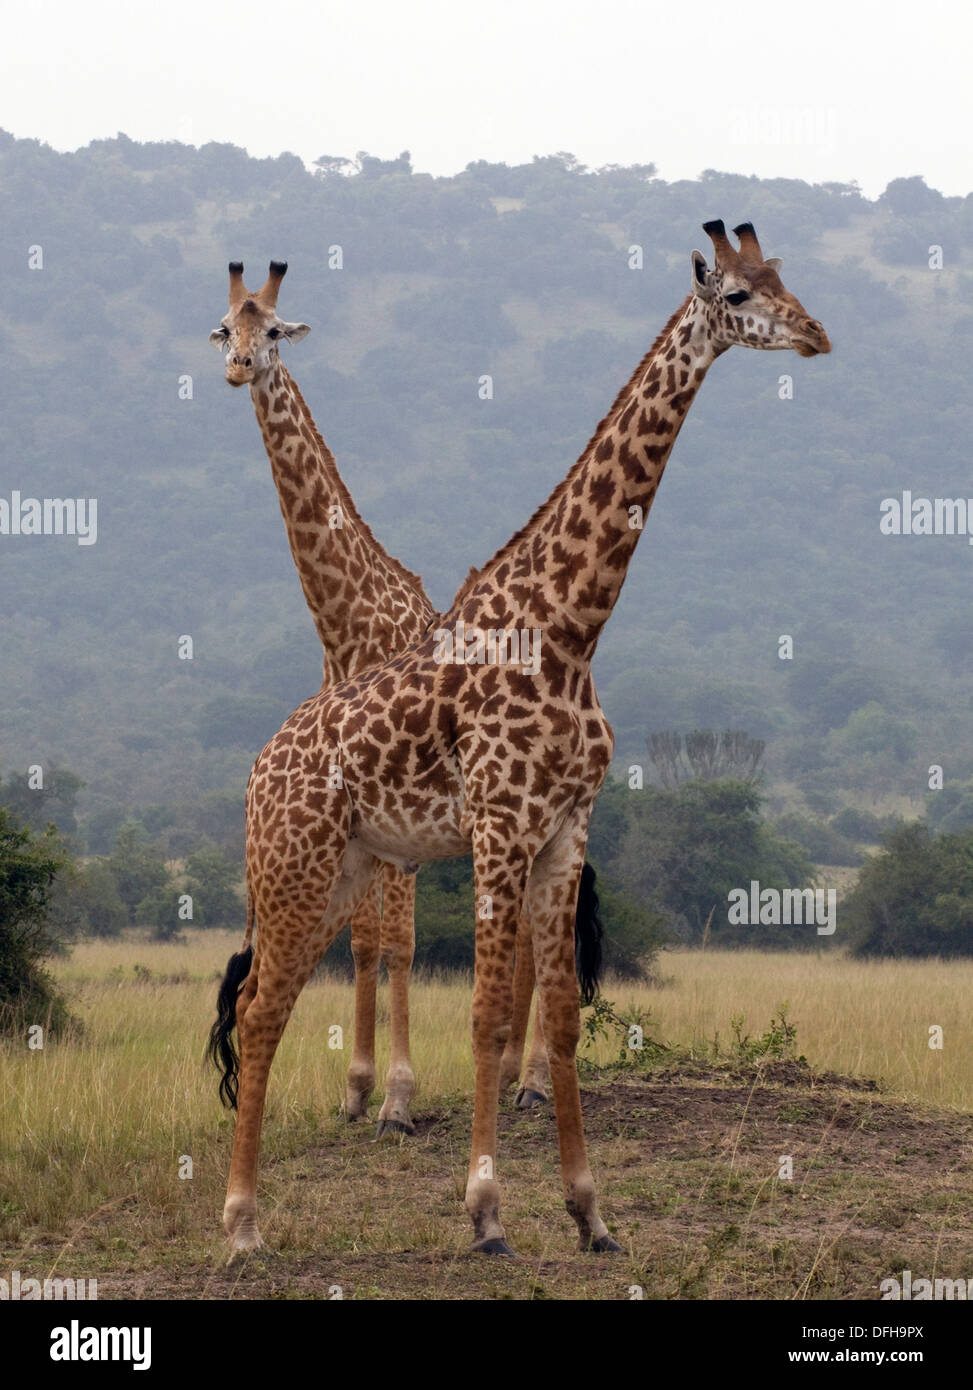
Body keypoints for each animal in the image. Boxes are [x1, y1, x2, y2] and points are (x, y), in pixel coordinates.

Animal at [208, 260, 554, 1127]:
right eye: (223, 329)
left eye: (274, 330)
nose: (237, 368)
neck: (346, 624)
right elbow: (366, 942)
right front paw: (357, 1089)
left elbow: (398, 943)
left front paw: (399, 1096)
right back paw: (510, 1073)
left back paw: (531, 1080)